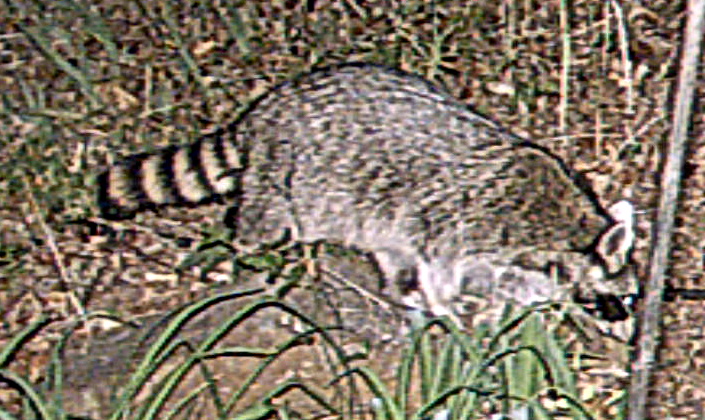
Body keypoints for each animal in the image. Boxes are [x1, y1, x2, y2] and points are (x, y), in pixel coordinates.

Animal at [98, 63, 636, 321]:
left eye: (631, 298)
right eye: (613, 300)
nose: (625, 335)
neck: (572, 229)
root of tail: (263, 110)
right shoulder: (467, 223)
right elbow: (441, 267)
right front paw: (448, 306)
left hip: (370, 207)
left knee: (388, 247)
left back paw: (398, 289)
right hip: (288, 178)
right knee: (264, 223)